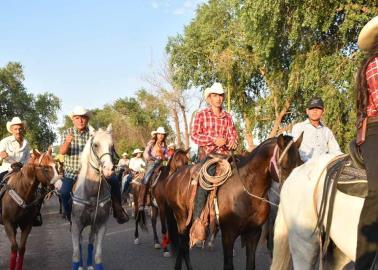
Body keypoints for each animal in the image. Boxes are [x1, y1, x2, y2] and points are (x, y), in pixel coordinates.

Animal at [71, 125, 114, 270]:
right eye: (95, 145)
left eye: (112, 145)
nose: (109, 169)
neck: (92, 194)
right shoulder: (76, 225)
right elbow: (76, 254)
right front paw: (78, 265)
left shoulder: (101, 225)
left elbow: (98, 255)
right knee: (79, 243)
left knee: (90, 242)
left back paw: (89, 265)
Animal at [165, 134, 304, 268]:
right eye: (284, 167)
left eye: (300, 164)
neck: (246, 192)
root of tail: (174, 175)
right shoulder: (228, 234)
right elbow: (228, 264)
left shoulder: (254, 233)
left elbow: (251, 264)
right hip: (181, 219)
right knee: (184, 246)